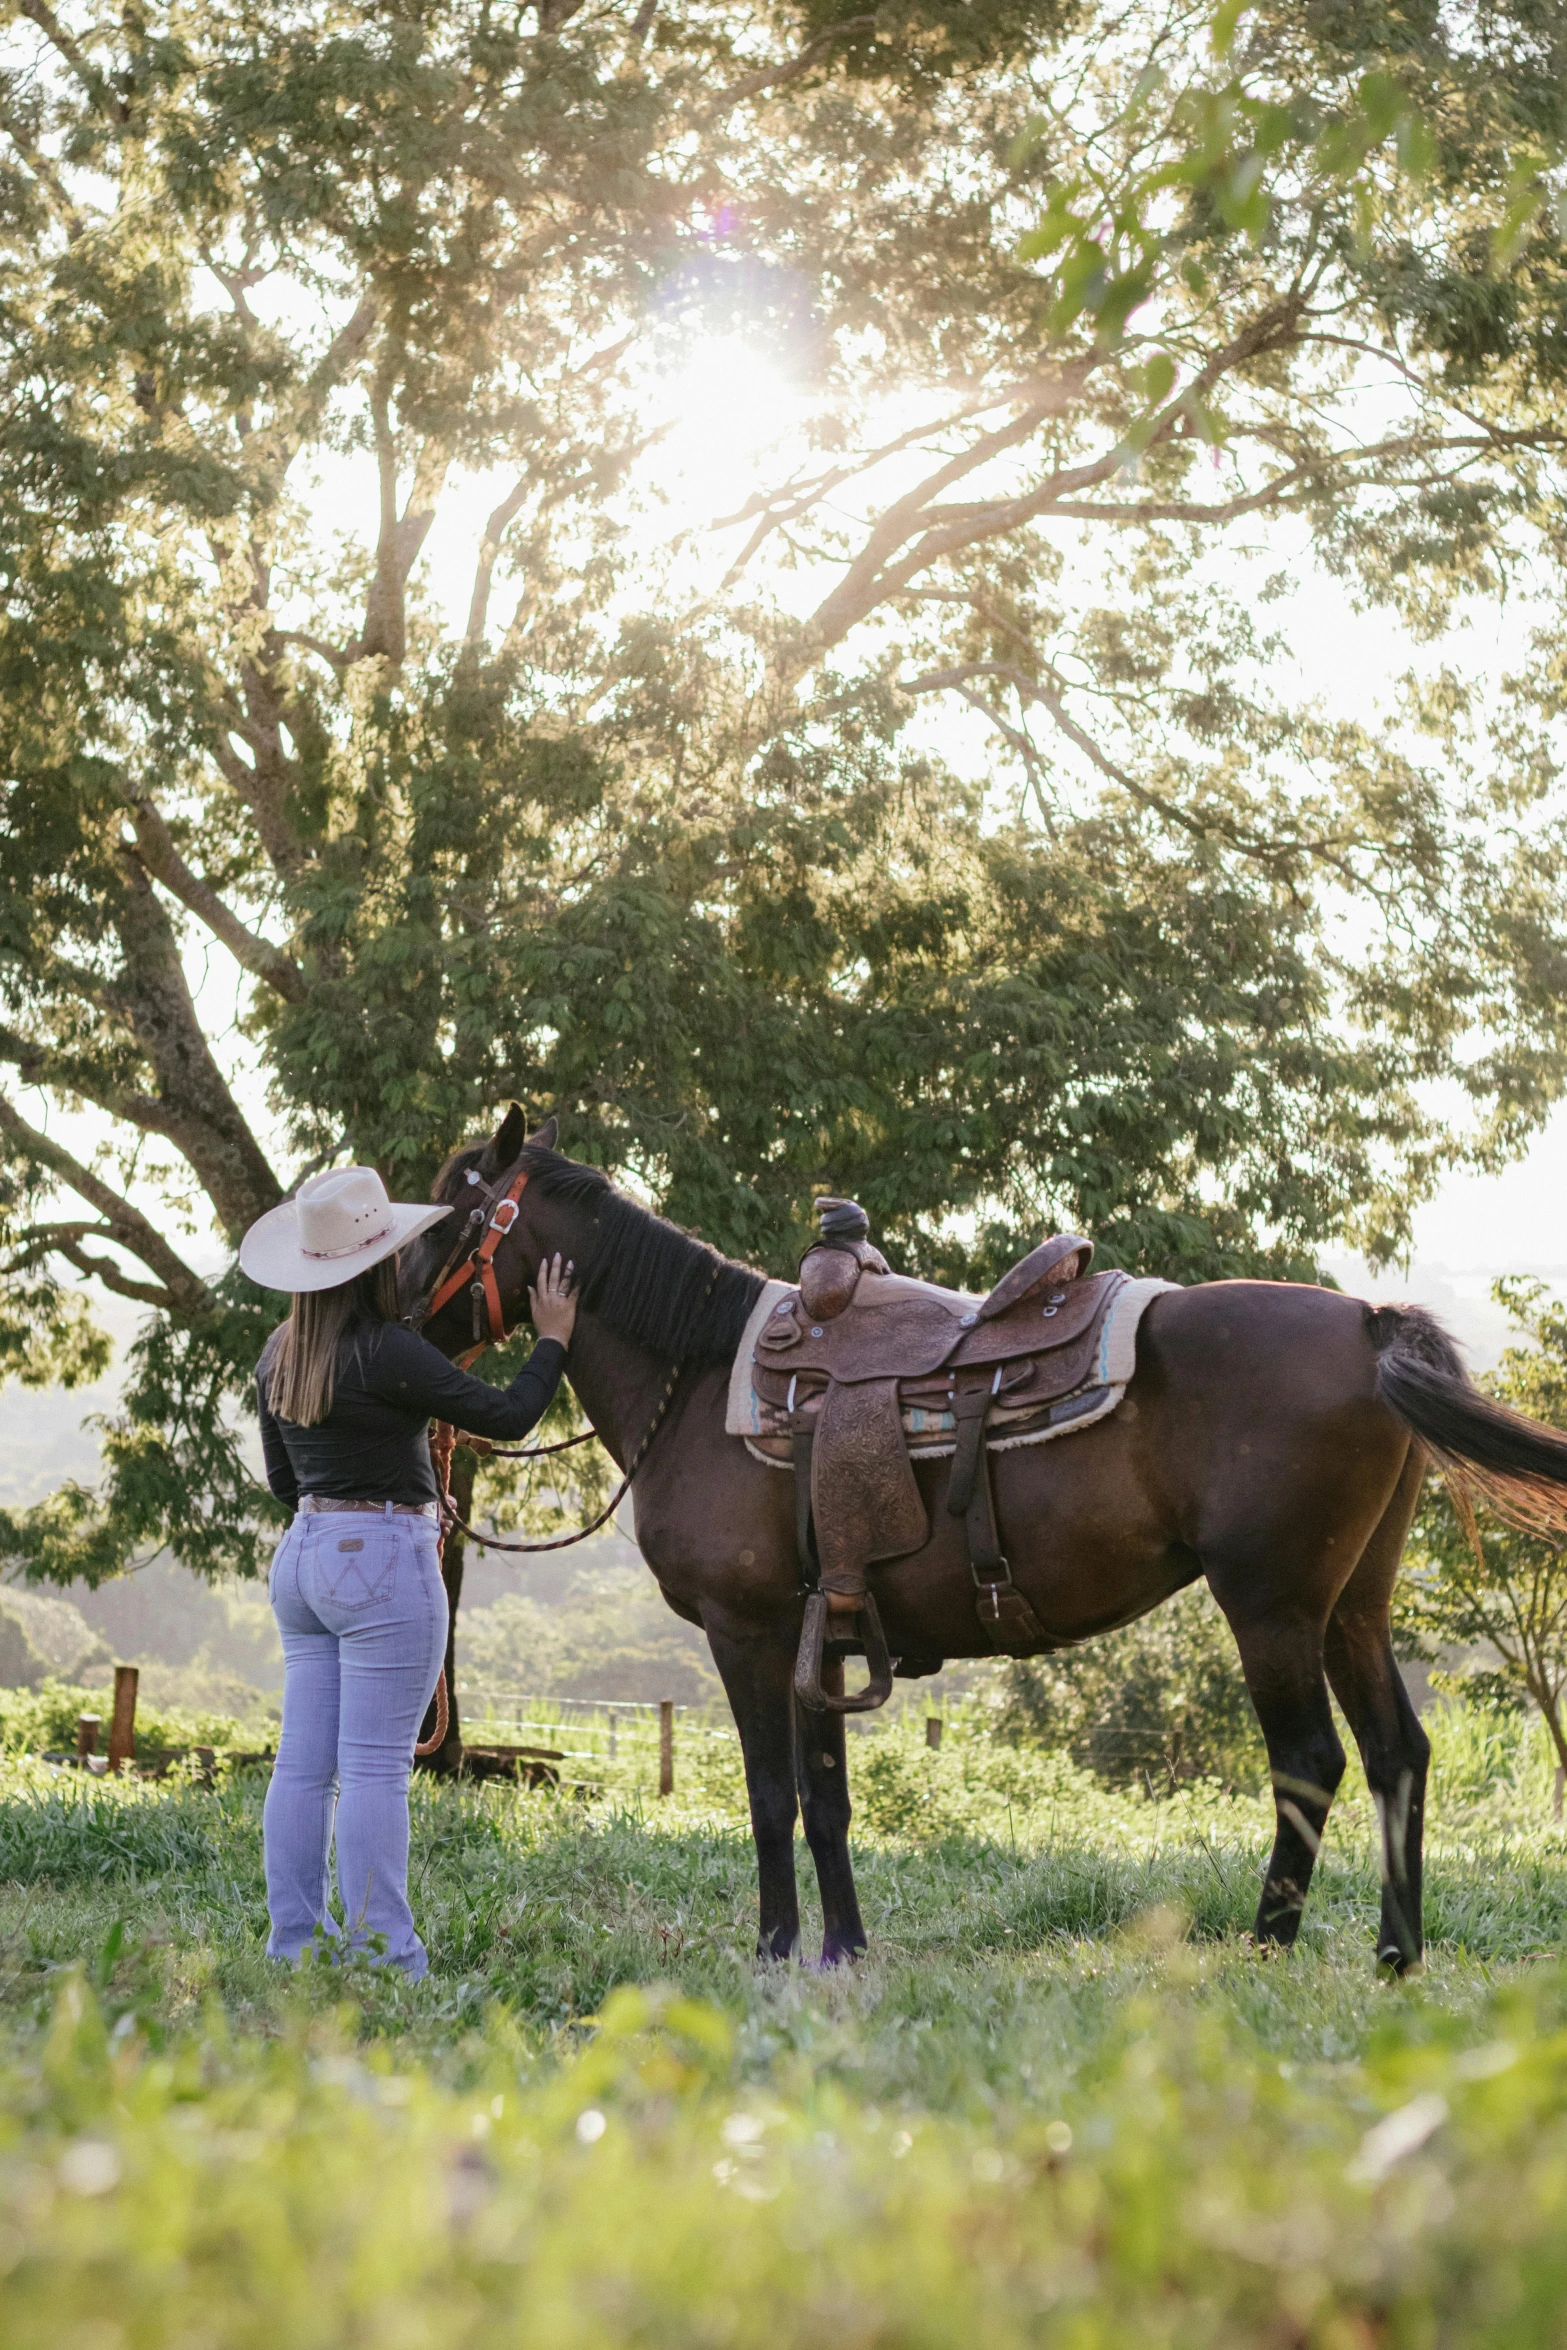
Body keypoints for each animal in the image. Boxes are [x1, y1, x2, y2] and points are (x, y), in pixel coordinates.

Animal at [394, 1109, 1567, 1973]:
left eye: (446, 1216)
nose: (390, 1318)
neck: (701, 1375)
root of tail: (1366, 1321)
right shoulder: (825, 1629)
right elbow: (826, 1798)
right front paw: (841, 1948)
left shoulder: (749, 1629)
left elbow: (771, 1796)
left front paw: (774, 1949)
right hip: (1352, 1604)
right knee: (1395, 1754)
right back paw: (1395, 1955)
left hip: (1271, 1604)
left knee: (1309, 1761)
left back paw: (1267, 1948)